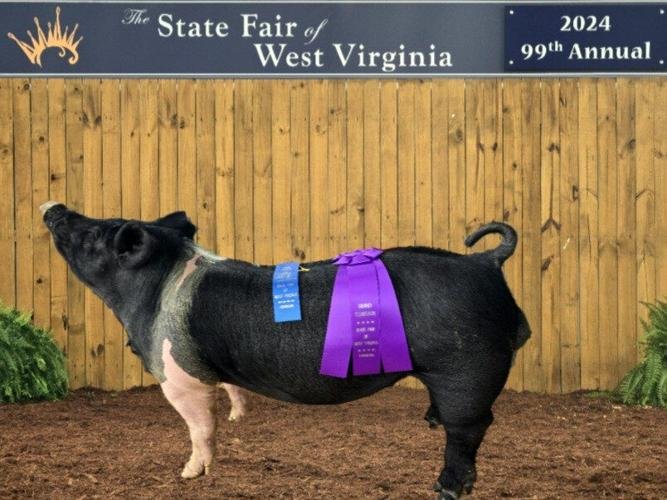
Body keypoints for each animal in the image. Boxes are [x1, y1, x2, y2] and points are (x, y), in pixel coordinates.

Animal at [42, 201, 530, 499]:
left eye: (99, 233)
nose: (55, 208)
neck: (157, 289)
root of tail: (484, 261)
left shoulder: (180, 374)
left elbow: (199, 428)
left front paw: (189, 473)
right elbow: (231, 395)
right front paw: (238, 417)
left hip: (466, 368)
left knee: (470, 428)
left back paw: (445, 486)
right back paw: (430, 422)